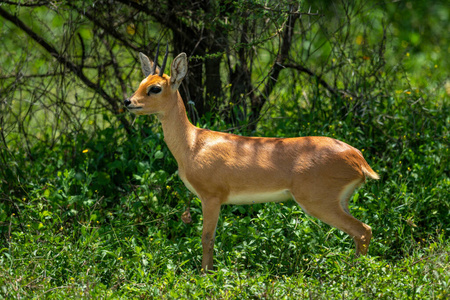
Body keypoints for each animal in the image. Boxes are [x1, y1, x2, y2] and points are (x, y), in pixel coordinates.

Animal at [124, 46, 380, 272]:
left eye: (155, 88)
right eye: (141, 83)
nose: (128, 102)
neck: (193, 144)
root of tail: (358, 158)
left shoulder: (212, 197)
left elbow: (207, 238)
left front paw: (205, 275)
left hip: (318, 202)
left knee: (363, 230)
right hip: (340, 201)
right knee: (361, 232)